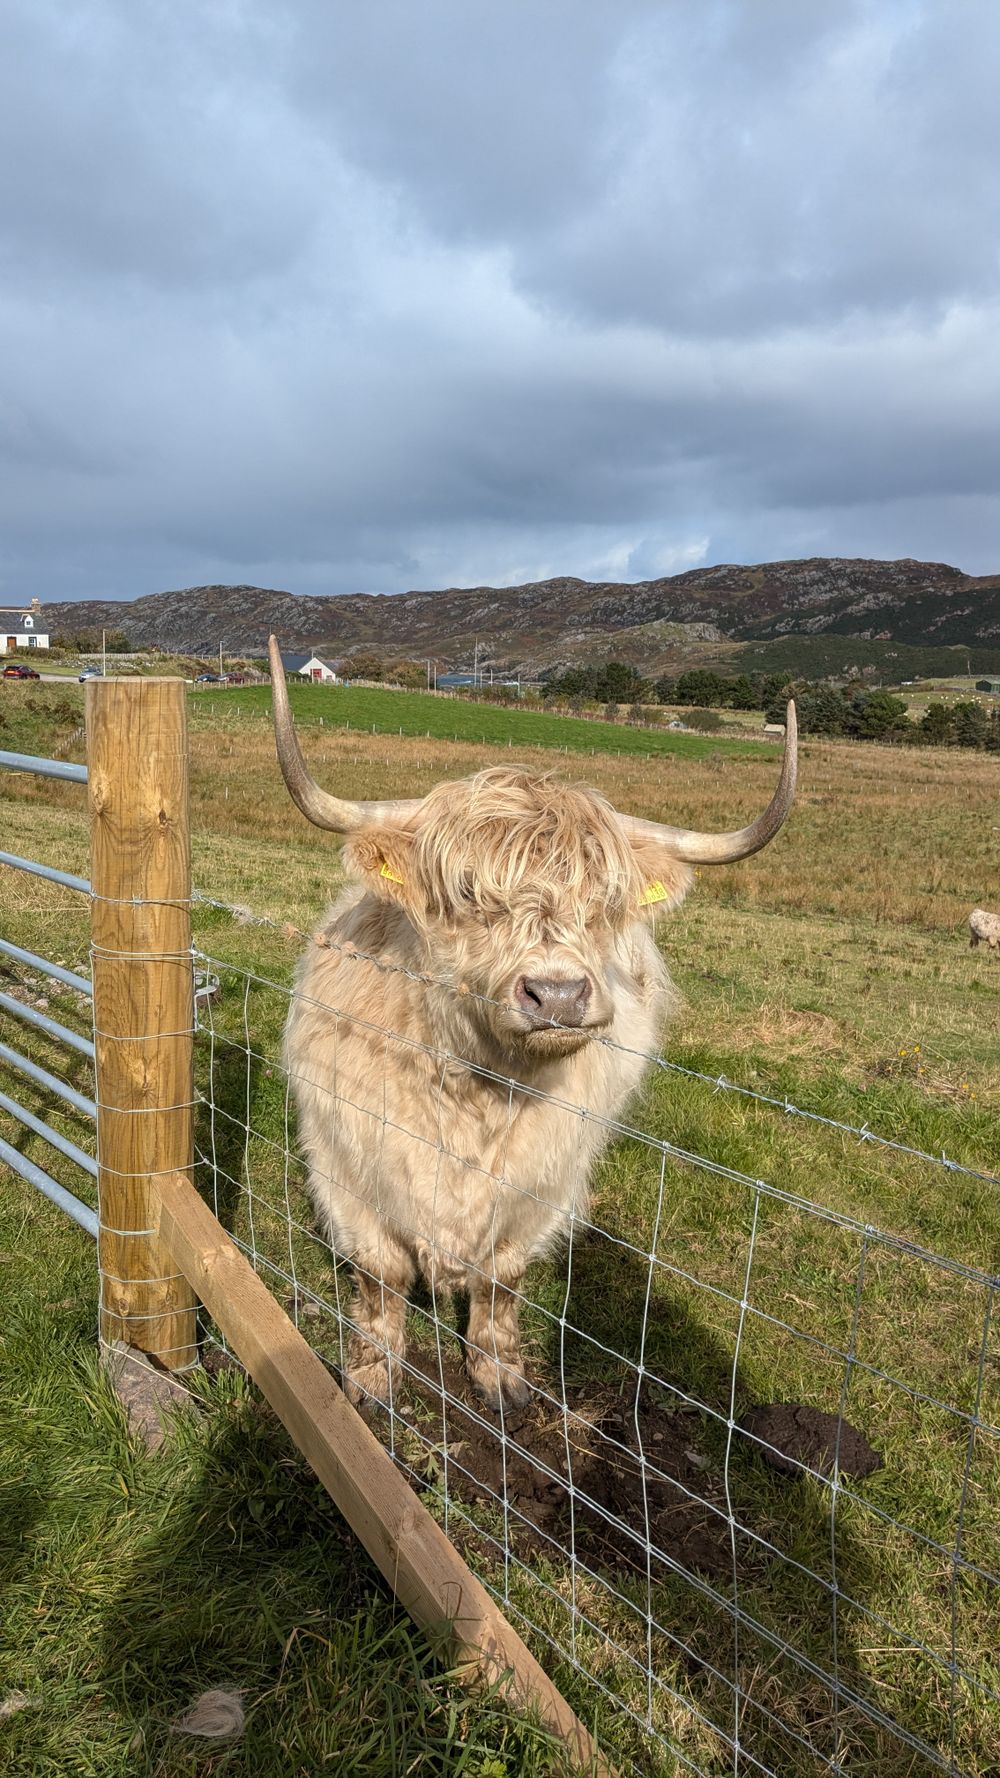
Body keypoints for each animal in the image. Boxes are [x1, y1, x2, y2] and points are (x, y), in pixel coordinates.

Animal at [268, 637, 797, 1412]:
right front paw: (369, 1375)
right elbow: (381, 1276)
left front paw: (498, 1373)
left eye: (604, 902)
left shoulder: (540, 1187)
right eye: (466, 895)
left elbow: (501, 1281)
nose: (558, 994)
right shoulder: (347, 1170)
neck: (478, 1096)